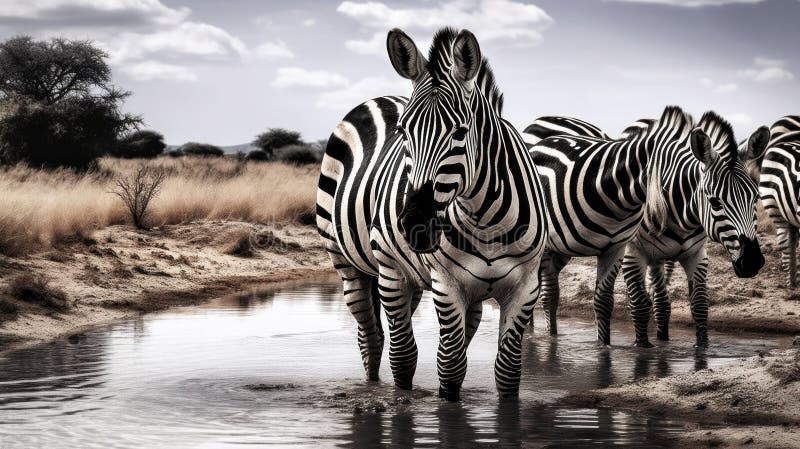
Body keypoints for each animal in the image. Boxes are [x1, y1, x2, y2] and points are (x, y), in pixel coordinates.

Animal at [318, 27, 552, 400]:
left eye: (460, 132)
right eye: (402, 132)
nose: (416, 223)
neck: (485, 218)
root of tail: (379, 98)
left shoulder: (526, 285)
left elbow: (507, 370)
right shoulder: (446, 283)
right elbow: (450, 364)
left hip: (420, 282)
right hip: (364, 267)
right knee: (383, 344)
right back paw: (379, 390)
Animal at [524, 106, 692, 344]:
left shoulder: (615, 248)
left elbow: (604, 301)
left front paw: (604, 345)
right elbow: (549, 295)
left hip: (560, 250)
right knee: (546, 292)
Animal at [620, 112, 768, 346]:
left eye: (755, 198)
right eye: (715, 202)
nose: (752, 261)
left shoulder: (697, 255)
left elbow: (700, 306)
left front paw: (702, 346)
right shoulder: (633, 253)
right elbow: (640, 306)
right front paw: (641, 346)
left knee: (661, 302)